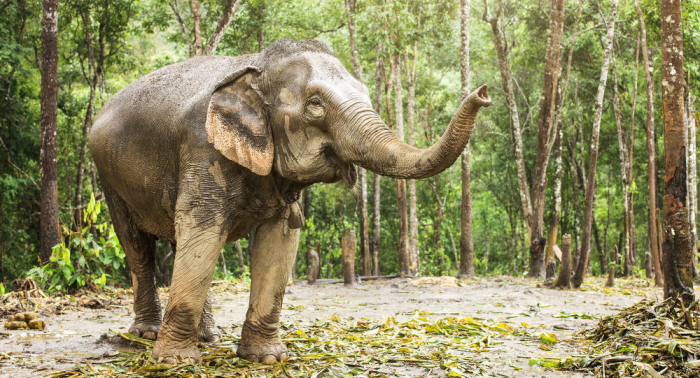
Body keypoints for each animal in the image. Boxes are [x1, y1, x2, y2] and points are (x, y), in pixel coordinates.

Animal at [89, 38, 492, 364]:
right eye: (314, 104)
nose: (484, 92)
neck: (256, 67)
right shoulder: (203, 147)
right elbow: (203, 231)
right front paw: (173, 362)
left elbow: (278, 244)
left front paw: (266, 358)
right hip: (109, 177)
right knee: (138, 247)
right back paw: (146, 335)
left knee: (177, 242)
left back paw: (207, 337)